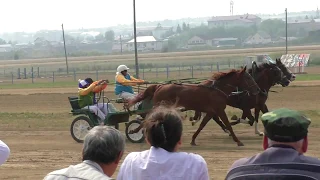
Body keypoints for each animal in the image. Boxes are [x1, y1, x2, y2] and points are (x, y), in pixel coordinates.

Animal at [126, 66, 262, 146]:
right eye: (248, 78)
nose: (258, 89)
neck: (217, 89)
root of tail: (160, 86)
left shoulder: (211, 112)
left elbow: (202, 125)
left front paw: (193, 140)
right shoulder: (219, 110)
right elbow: (228, 124)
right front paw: (238, 141)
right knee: (147, 117)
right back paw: (134, 130)